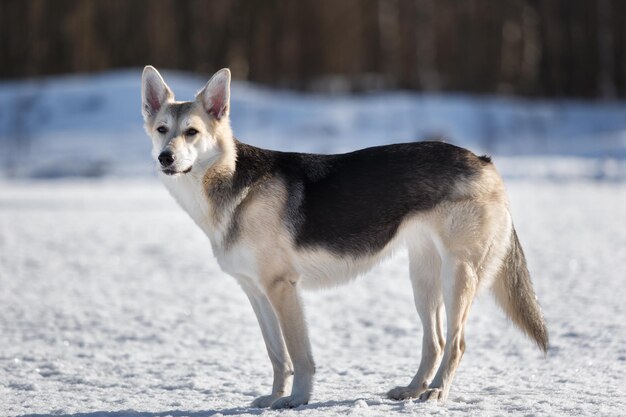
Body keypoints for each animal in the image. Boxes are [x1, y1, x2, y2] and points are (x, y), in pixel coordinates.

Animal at [140, 66, 544, 408]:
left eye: (191, 132)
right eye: (162, 130)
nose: (165, 158)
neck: (227, 184)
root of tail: (483, 161)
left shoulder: (282, 288)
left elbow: (299, 355)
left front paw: (296, 400)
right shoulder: (255, 292)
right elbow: (277, 355)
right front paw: (274, 397)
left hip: (457, 276)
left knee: (456, 343)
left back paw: (437, 392)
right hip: (423, 279)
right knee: (436, 341)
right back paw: (413, 389)